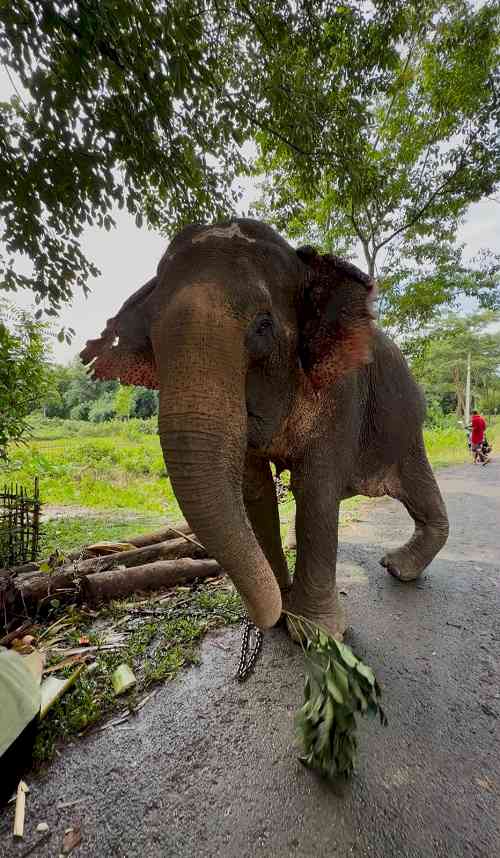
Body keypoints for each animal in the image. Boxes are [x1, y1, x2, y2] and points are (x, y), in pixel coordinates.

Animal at [81, 218, 449, 639]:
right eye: (150, 339)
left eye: (263, 326)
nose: (270, 614)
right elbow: (254, 490)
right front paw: (282, 605)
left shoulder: (343, 393)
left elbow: (316, 489)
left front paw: (313, 631)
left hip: (405, 425)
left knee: (417, 486)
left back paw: (397, 567)